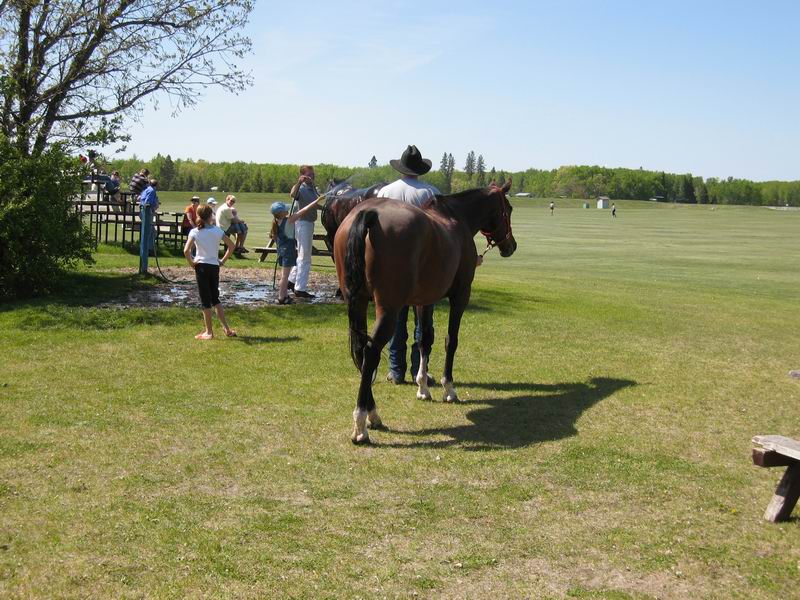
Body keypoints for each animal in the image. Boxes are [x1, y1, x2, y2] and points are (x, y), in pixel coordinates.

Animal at [334, 180, 516, 442]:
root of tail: (369, 212)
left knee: (361, 352)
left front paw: (422, 386)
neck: (456, 218)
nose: (511, 246)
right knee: (371, 353)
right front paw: (448, 388)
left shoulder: (424, 300)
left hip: (357, 302)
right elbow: (451, 340)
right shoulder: (460, 296)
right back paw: (361, 424)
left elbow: (424, 340)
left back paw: (372, 414)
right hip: (388, 310)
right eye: (508, 209)